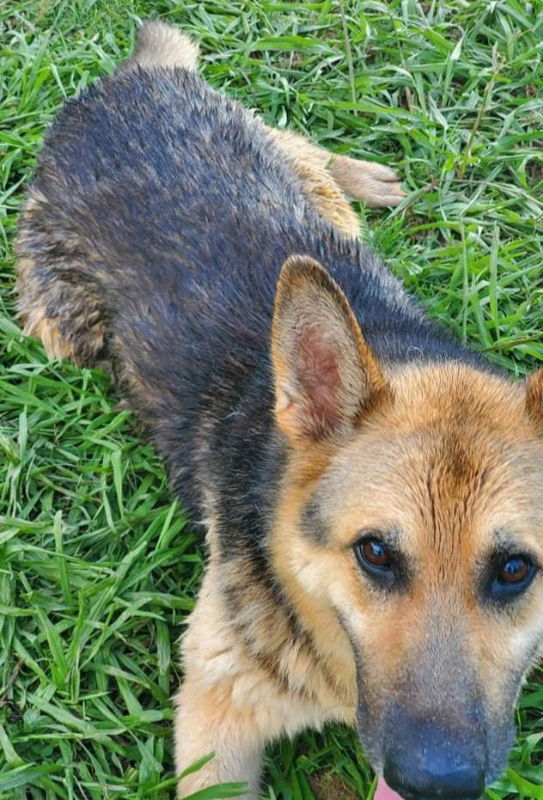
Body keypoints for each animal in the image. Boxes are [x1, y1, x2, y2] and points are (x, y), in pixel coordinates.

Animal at [14, 17, 540, 800]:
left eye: (513, 570)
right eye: (375, 554)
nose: (436, 781)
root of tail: (124, 86)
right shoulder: (216, 710)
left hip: (306, 191)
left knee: (300, 146)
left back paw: (367, 176)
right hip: (59, 331)